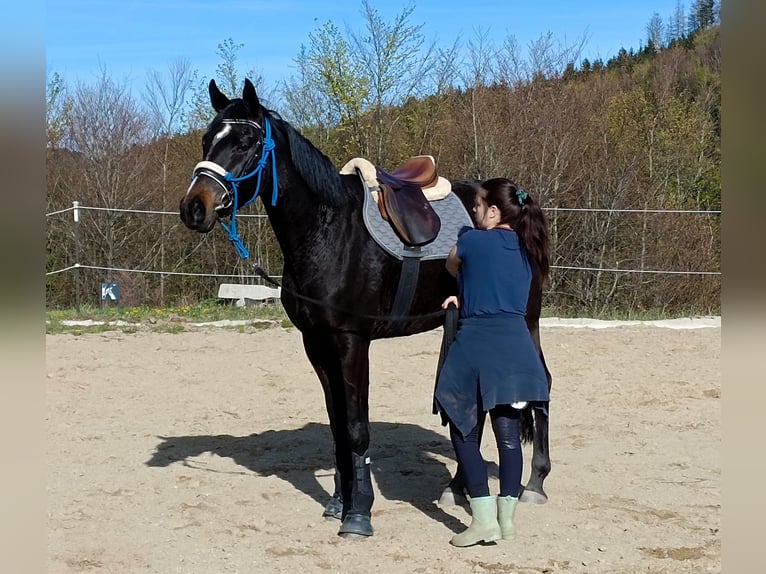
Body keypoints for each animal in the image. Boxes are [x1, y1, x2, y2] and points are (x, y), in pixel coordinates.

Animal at [180, 80, 552, 540]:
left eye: (246, 143)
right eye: (206, 139)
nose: (194, 207)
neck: (330, 230)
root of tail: (522, 204)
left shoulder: (352, 342)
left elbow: (357, 427)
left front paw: (359, 514)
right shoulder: (316, 343)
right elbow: (338, 425)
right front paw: (339, 502)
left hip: (526, 321)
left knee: (541, 388)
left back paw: (534, 483)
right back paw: (457, 489)